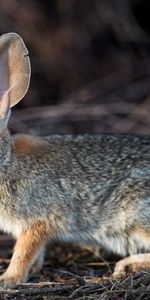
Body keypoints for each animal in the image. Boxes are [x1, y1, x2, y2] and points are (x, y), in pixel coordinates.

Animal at [0, 32, 150, 288]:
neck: (6, 162)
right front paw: (33, 270)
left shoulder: (38, 221)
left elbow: (23, 252)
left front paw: (9, 279)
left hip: (138, 213)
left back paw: (126, 265)